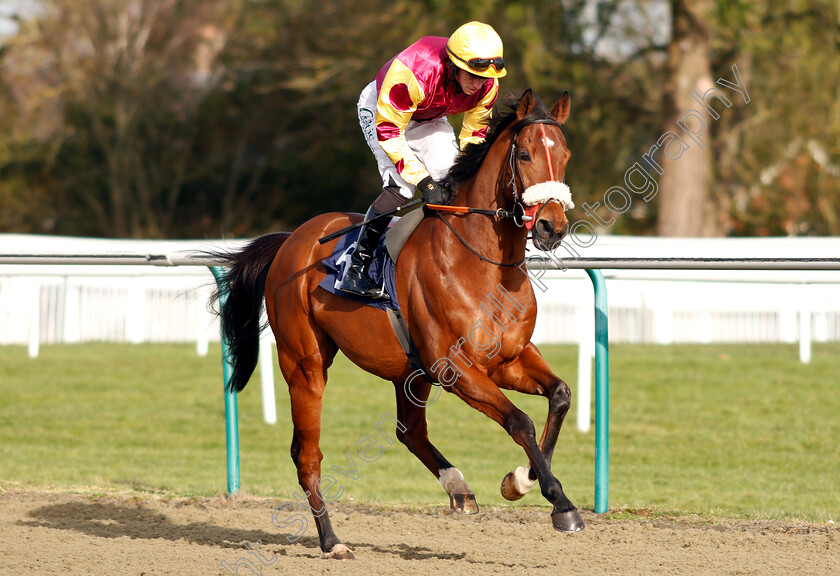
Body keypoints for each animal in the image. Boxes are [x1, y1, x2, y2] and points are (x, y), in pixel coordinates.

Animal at [212, 89, 584, 560]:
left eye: (566, 156)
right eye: (524, 154)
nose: (552, 226)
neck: (484, 264)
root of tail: (290, 240)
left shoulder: (509, 359)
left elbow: (560, 396)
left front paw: (522, 481)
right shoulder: (456, 368)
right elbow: (520, 422)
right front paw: (560, 503)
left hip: (411, 371)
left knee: (409, 431)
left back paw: (458, 488)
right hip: (305, 364)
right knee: (307, 453)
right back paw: (332, 540)